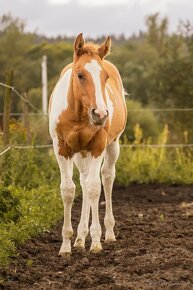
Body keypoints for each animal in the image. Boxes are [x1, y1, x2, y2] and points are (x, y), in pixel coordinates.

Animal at [48, 34, 126, 256]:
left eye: (105, 77)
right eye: (80, 75)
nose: (100, 114)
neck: (78, 114)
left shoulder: (98, 145)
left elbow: (93, 188)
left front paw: (96, 241)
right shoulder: (62, 149)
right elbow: (68, 190)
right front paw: (66, 245)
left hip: (112, 145)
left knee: (106, 178)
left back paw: (108, 233)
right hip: (80, 153)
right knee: (82, 181)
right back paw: (80, 238)